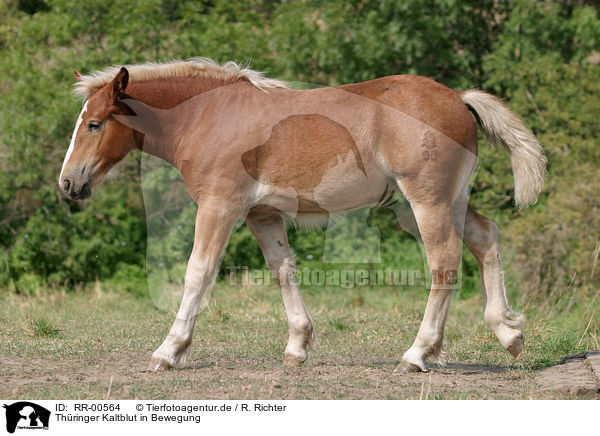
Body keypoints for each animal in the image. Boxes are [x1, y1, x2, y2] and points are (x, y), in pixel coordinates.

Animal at [58, 57, 548, 372]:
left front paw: (168, 351)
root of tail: (458, 97)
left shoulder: (220, 205)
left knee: (444, 262)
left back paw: (417, 355)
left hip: (426, 202)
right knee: (485, 238)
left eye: (95, 123)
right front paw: (297, 346)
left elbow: (198, 272)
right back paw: (509, 334)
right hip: (447, 200)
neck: (207, 116)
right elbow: (283, 269)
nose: (67, 183)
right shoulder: (262, 214)